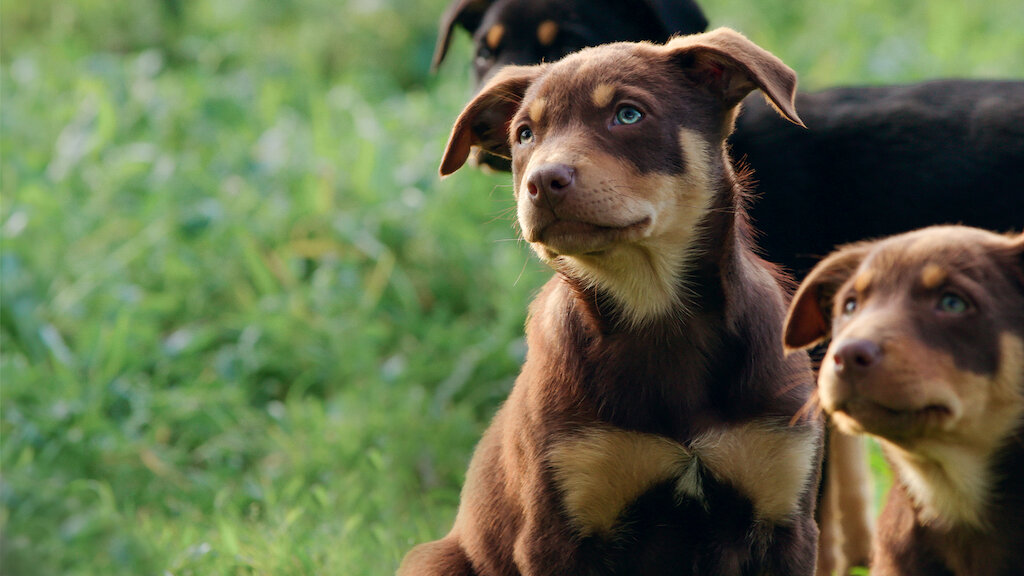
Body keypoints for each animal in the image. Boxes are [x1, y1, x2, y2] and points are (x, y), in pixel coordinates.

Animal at [399, 29, 823, 569]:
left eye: (628, 115)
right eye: (524, 135)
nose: (542, 182)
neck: (655, 307)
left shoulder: (785, 515)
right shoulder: (558, 525)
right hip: (433, 558)